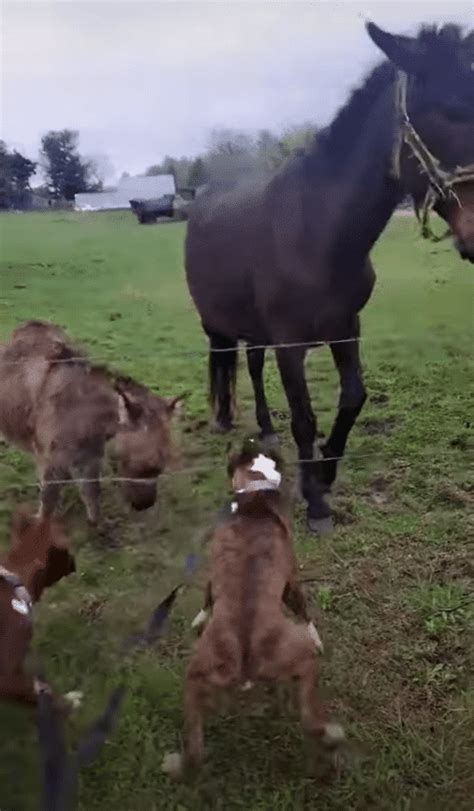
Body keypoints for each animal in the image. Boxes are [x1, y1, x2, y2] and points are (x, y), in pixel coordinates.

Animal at [164, 444, 344, 780]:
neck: (255, 491)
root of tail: (245, 656)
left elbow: (208, 593)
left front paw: (201, 615)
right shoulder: (290, 582)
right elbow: (304, 611)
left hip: (195, 676)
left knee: (195, 747)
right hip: (302, 662)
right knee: (308, 716)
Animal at [185, 22, 474, 532]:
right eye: (448, 110)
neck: (316, 231)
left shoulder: (346, 328)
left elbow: (353, 399)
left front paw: (327, 470)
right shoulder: (290, 343)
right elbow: (304, 417)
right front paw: (316, 502)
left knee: (253, 366)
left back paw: (266, 427)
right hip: (217, 324)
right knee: (226, 363)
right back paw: (226, 419)